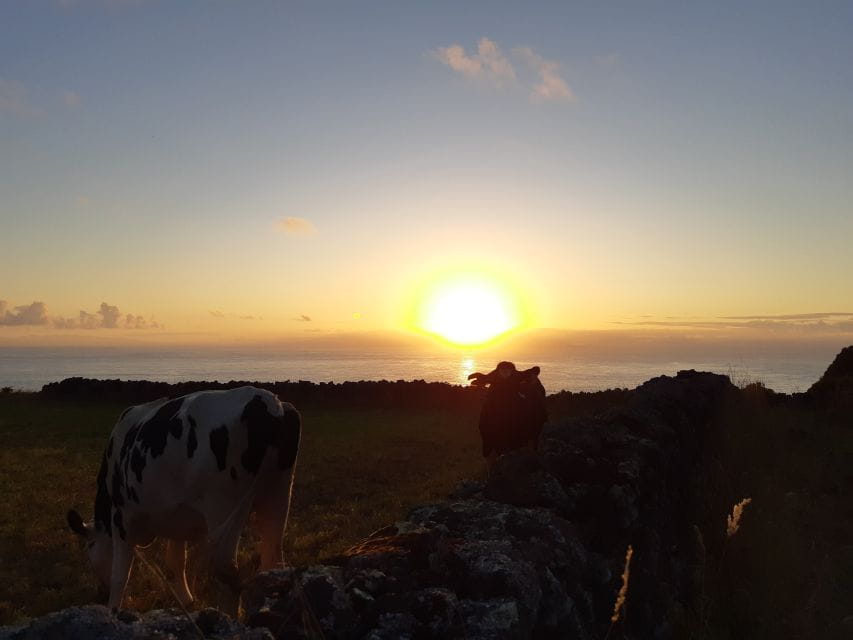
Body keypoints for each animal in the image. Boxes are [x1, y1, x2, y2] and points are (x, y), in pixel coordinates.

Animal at [66, 386, 301, 614]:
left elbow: (120, 574)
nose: (100, 593)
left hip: (224, 507)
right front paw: (186, 600)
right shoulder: (175, 517)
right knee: (273, 561)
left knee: (228, 570)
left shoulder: (121, 518)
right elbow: (176, 561)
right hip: (279, 496)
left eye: (90, 547)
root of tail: (269, 401)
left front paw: (112, 610)